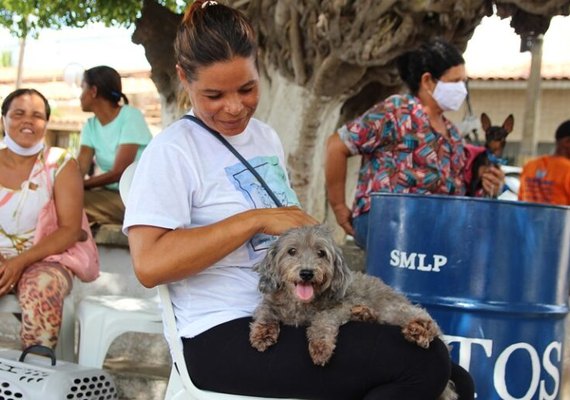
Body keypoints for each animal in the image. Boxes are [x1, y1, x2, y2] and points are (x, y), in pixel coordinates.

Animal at [251, 223, 454, 400]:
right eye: (292, 251)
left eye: (321, 253)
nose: (307, 273)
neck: (300, 304)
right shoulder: (271, 303)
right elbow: (265, 311)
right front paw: (262, 333)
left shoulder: (340, 306)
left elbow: (322, 320)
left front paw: (320, 346)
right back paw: (364, 314)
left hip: (391, 309)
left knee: (426, 318)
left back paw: (419, 329)